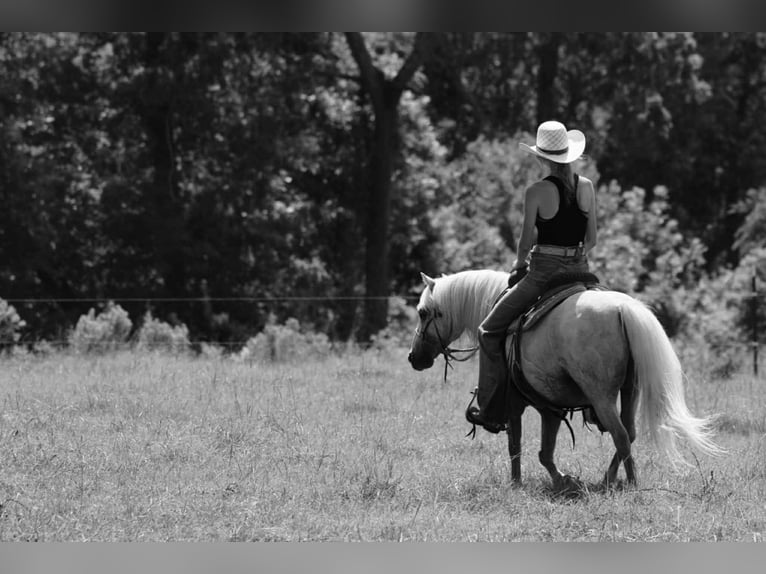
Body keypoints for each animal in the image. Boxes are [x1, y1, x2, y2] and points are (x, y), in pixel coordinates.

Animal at [407, 269, 722, 492]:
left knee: (620, 435)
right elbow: (545, 452)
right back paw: (613, 480)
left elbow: (515, 445)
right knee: (629, 434)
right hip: (630, 391)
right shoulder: (550, 408)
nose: (414, 357)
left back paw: (627, 484)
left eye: (422, 313)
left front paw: (516, 484)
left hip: (601, 395)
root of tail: (622, 310)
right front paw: (563, 480)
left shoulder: (515, 403)